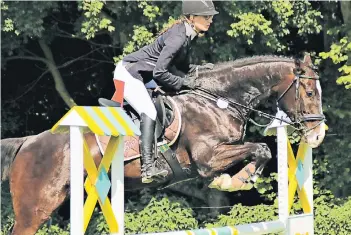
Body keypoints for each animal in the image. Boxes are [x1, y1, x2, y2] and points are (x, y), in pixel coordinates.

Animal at [1, 53, 328, 235]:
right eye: (310, 92)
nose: (317, 135)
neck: (218, 101)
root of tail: (28, 142)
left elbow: (262, 149)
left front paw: (235, 179)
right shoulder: (207, 158)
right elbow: (261, 149)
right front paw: (233, 180)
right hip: (35, 208)